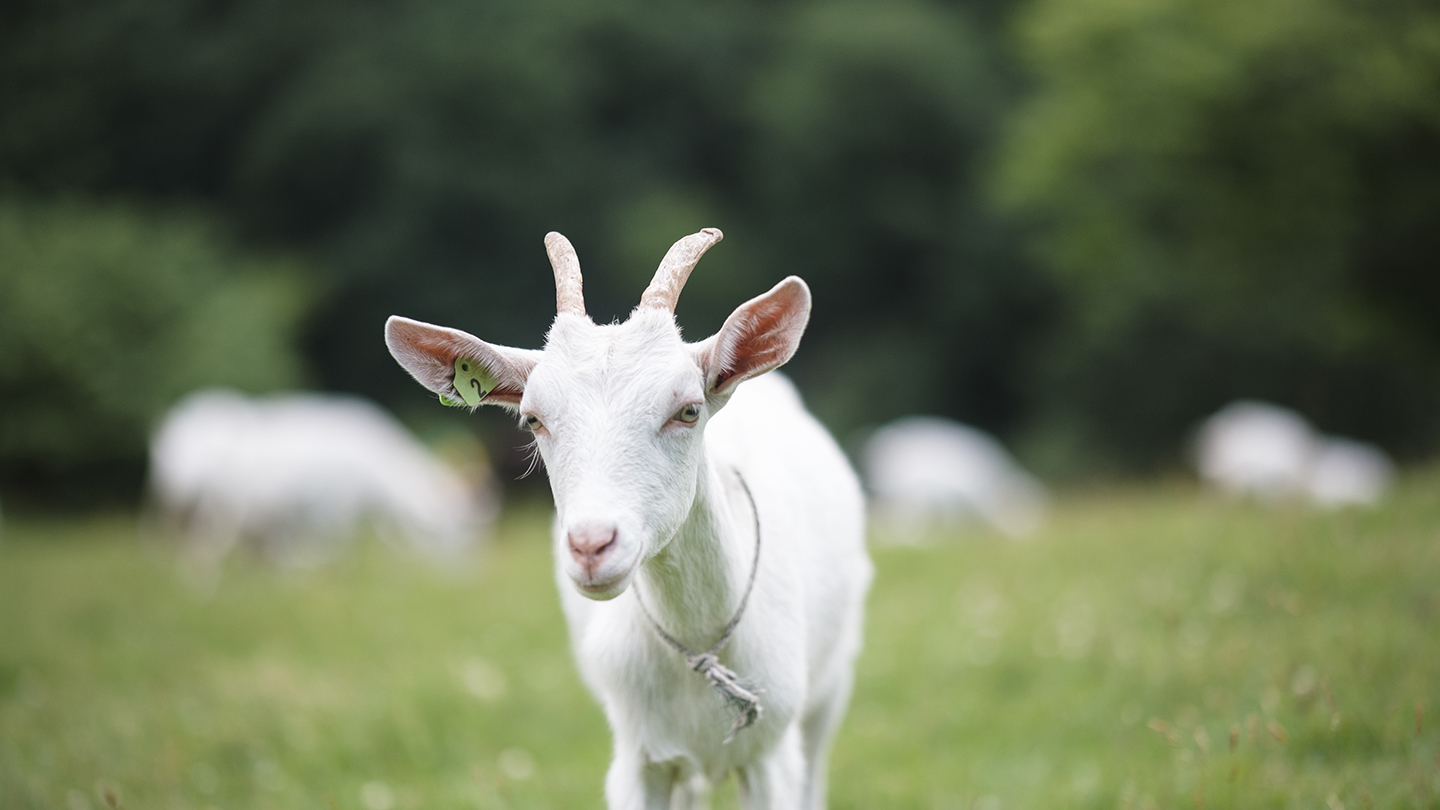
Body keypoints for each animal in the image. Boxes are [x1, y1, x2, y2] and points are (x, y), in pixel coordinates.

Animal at [148, 386, 492, 567]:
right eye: (459, 525)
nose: (471, 568)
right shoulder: (332, 509)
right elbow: (328, 551)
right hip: (205, 502)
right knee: (196, 544)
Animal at [385, 227, 875, 807]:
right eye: (533, 419)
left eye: (688, 410)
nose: (592, 545)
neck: (697, 643)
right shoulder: (637, 756)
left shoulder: (770, 752)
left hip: (833, 682)